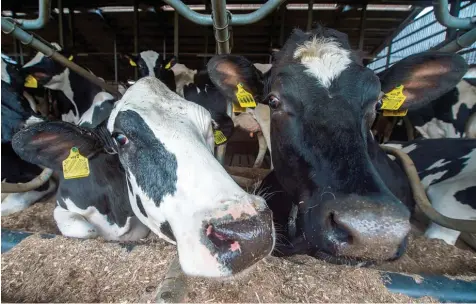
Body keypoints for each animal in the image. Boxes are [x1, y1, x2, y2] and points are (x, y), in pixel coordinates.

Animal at [12, 76, 276, 278]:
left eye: (210, 127)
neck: (116, 213)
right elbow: (86, 230)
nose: (250, 231)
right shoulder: (62, 205)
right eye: (120, 138)